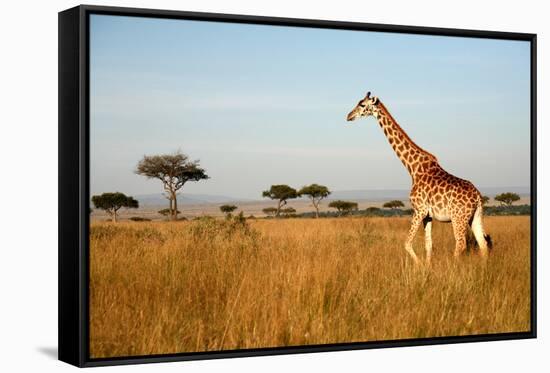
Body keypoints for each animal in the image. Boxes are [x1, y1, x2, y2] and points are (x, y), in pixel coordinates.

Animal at [348, 91, 494, 264]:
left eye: (362, 104)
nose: (349, 116)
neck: (413, 168)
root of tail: (477, 196)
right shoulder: (428, 216)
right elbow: (428, 244)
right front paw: (427, 266)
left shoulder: (419, 210)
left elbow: (407, 243)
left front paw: (418, 265)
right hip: (476, 216)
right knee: (483, 244)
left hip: (458, 217)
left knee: (461, 243)